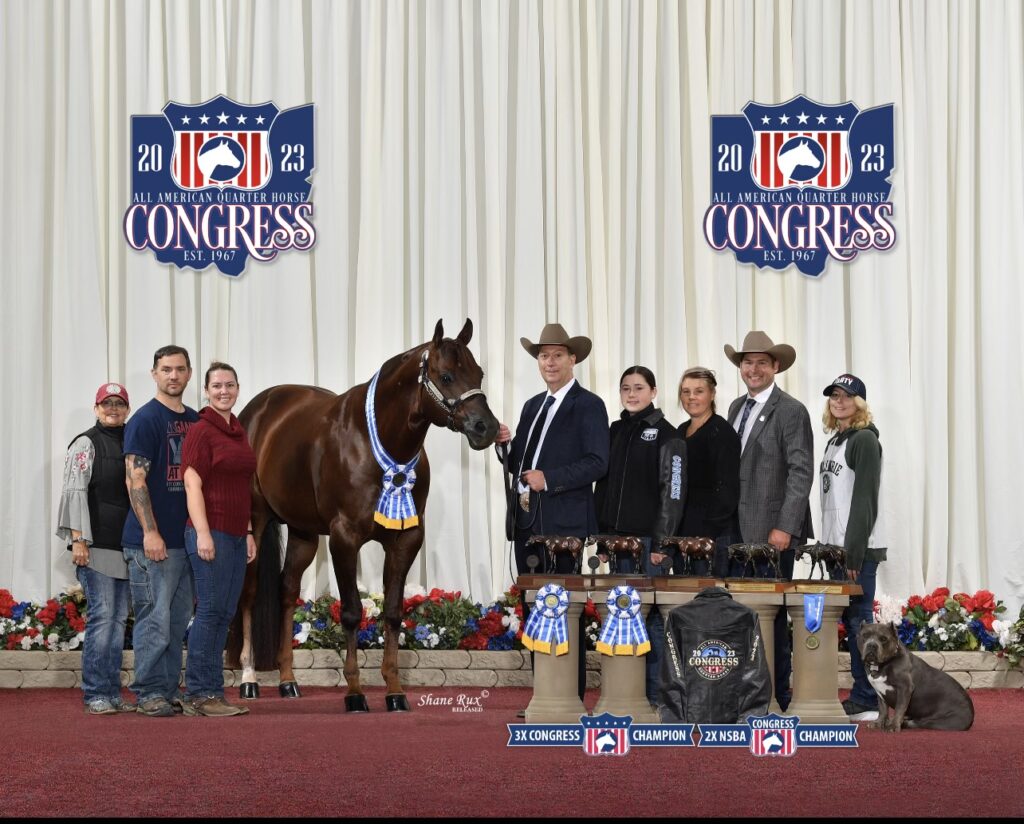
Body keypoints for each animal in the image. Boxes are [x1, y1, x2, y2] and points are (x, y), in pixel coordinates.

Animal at [233, 317, 503, 712]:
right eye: (446, 375)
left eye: (479, 372)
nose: (487, 428)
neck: (377, 445)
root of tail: (256, 410)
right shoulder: (344, 539)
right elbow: (351, 612)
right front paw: (355, 692)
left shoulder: (407, 539)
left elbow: (392, 612)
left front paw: (394, 691)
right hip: (255, 521)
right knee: (250, 592)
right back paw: (249, 679)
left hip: (303, 533)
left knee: (287, 591)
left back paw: (287, 681)